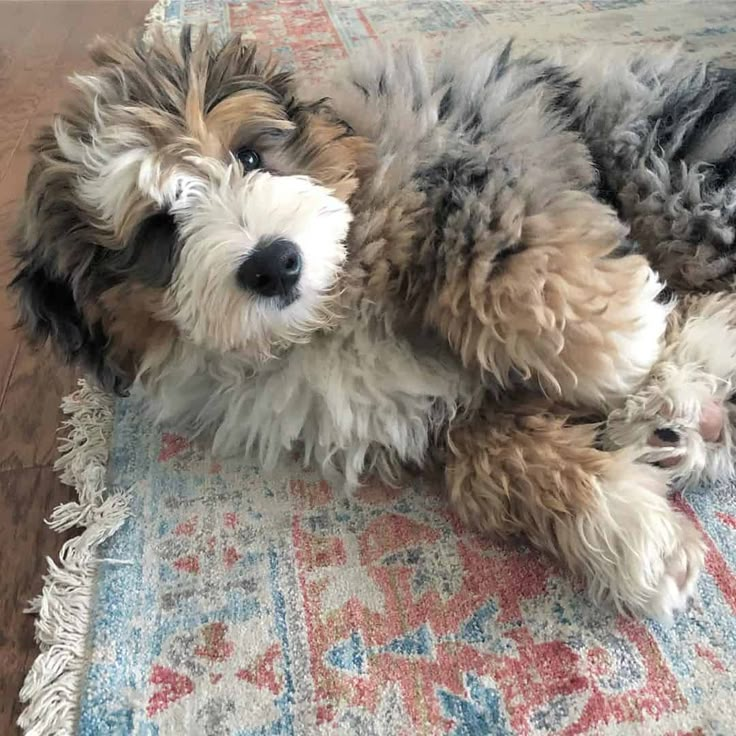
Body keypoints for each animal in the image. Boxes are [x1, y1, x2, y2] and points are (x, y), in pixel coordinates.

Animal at [10, 25, 736, 620]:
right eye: (159, 228)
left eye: (249, 157)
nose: (275, 263)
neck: (324, 320)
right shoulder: (442, 414)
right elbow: (499, 460)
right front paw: (634, 539)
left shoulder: (466, 157)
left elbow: (495, 261)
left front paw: (621, 340)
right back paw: (684, 412)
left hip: (664, 162)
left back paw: (679, 373)